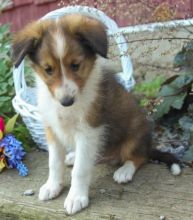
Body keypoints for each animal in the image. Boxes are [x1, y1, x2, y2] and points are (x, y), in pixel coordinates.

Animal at [12, 13, 181, 215]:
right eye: (48, 70)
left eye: (75, 65)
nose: (66, 101)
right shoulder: (52, 130)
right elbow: (54, 163)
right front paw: (53, 186)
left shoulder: (89, 131)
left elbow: (80, 170)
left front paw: (76, 197)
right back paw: (73, 156)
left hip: (135, 134)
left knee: (140, 157)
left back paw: (124, 171)